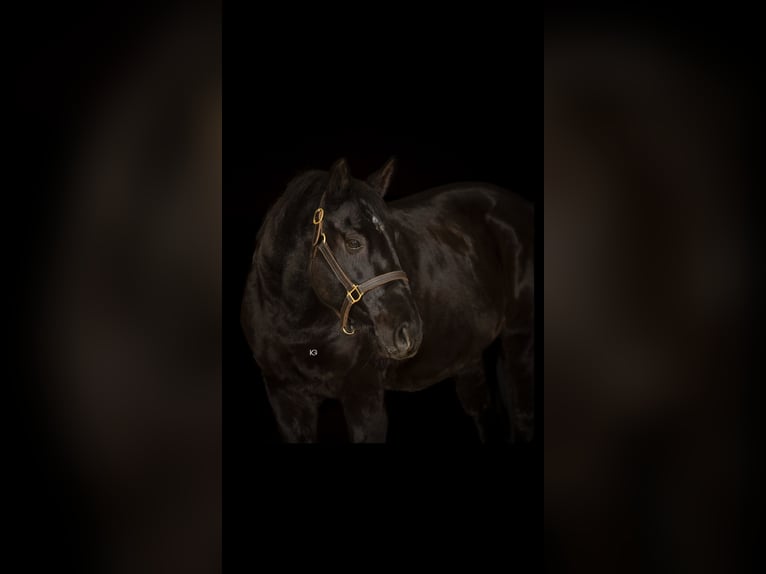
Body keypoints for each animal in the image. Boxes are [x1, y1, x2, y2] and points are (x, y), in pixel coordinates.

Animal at [241, 157, 534, 443]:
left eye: (394, 237)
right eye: (353, 242)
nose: (408, 331)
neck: (296, 327)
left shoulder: (365, 397)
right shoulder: (286, 401)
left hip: (519, 340)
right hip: (468, 354)